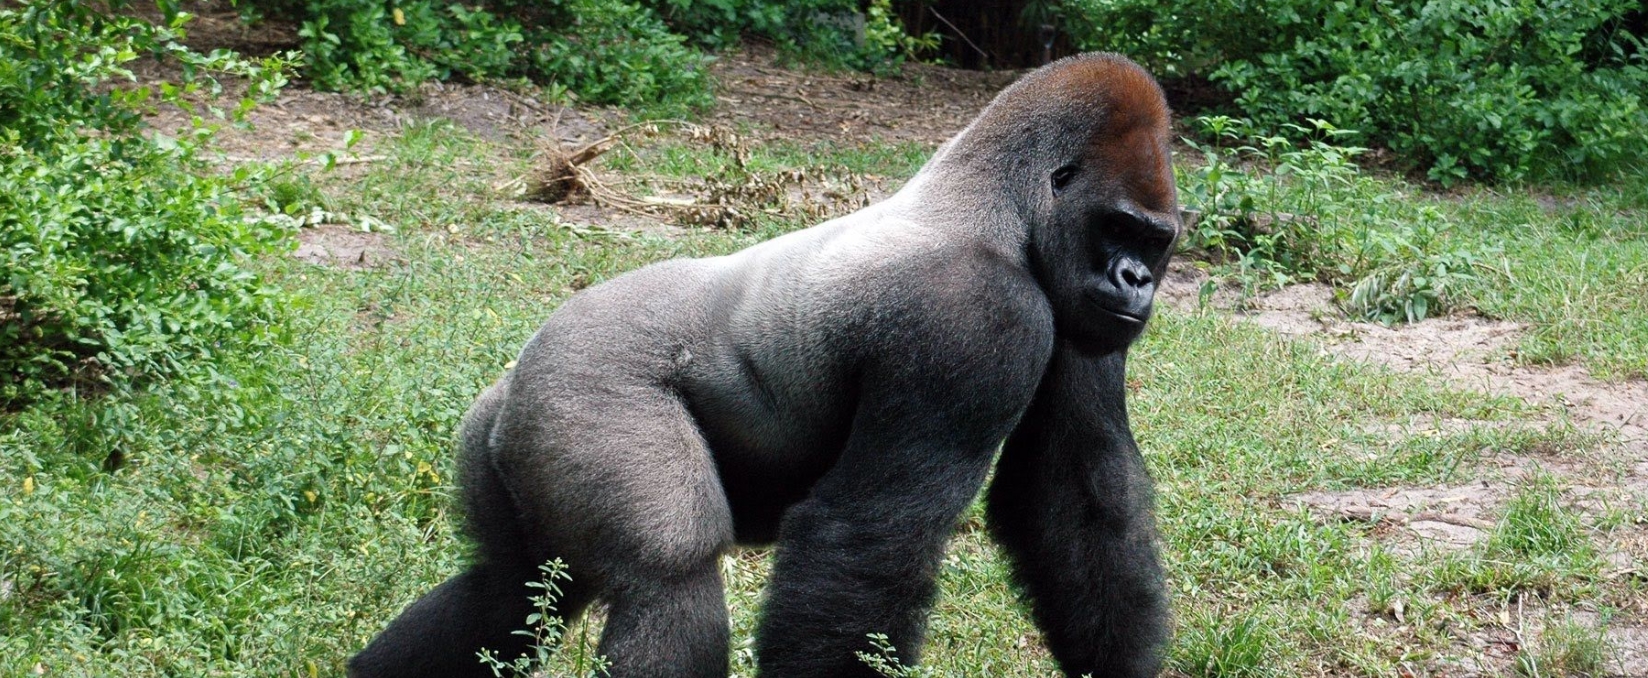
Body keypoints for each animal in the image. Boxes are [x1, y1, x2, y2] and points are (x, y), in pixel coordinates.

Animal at [350, 52, 1180, 678]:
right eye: (1118, 226)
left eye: (1157, 240)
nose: (1135, 281)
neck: (998, 204)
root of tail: (516, 374)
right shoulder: (974, 317)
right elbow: (870, 537)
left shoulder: (1075, 321)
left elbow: (1078, 501)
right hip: (581, 391)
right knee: (667, 577)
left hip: (507, 438)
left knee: (513, 591)